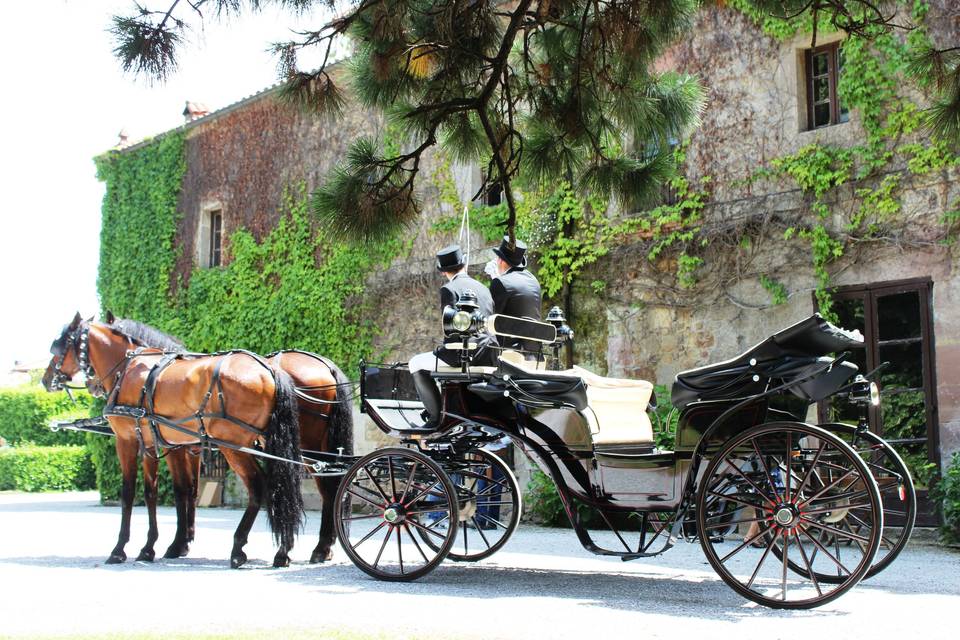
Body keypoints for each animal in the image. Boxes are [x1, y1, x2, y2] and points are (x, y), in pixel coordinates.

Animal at [41, 312, 302, 568]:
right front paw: (157, 547)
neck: (130, 367)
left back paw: (239, 547)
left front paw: (120, 549)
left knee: (259, 486)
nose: (45, 379)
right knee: (281, 486)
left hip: (234, 446)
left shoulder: (127, 440)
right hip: (265, 442)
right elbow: (162, 491)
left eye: (59, 346)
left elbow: (129, 492)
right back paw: (282, 550)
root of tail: (269, 370)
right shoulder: (159, 444)